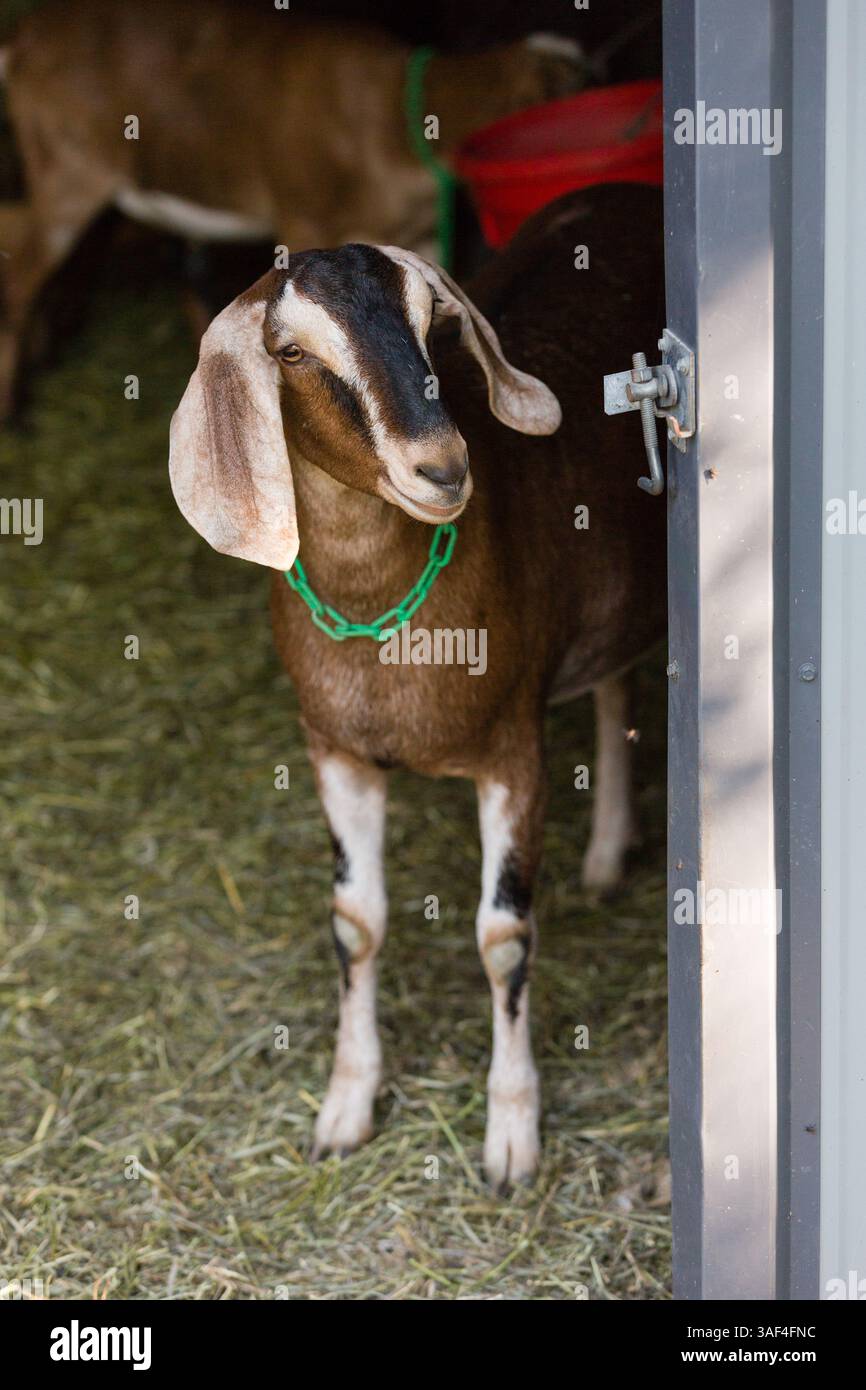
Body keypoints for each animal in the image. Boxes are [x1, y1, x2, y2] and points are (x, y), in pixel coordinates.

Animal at [0, 0, 582, 416]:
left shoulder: (416, 239)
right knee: (20, 268)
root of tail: (27, 31)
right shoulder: (304, 217)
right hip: (69, 172)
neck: (391, 118)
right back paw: (14, 413)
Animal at [168, 184, 665, 1186]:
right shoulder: (336, 751)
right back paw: (604, 857)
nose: (441, 467)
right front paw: (344, 1109)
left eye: (433, 324)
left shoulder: (514, 752)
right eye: (290, 353)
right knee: (615, 684)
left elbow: (503, 937)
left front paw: (511, 1138)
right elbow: (355, 920)